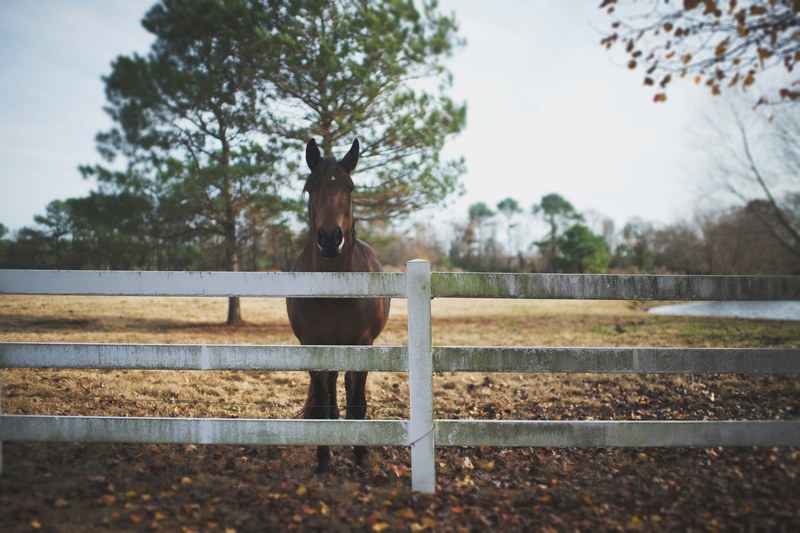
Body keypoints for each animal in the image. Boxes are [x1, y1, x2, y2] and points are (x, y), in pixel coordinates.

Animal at [286, 138, 391, 475]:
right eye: (310, 188)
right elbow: (320, 403)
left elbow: (357, 400)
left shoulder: (363, 343)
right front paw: (322, 459)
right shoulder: (312, 344)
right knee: (331, 384)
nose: (331, 239)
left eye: (350, 187)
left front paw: (361, 455)